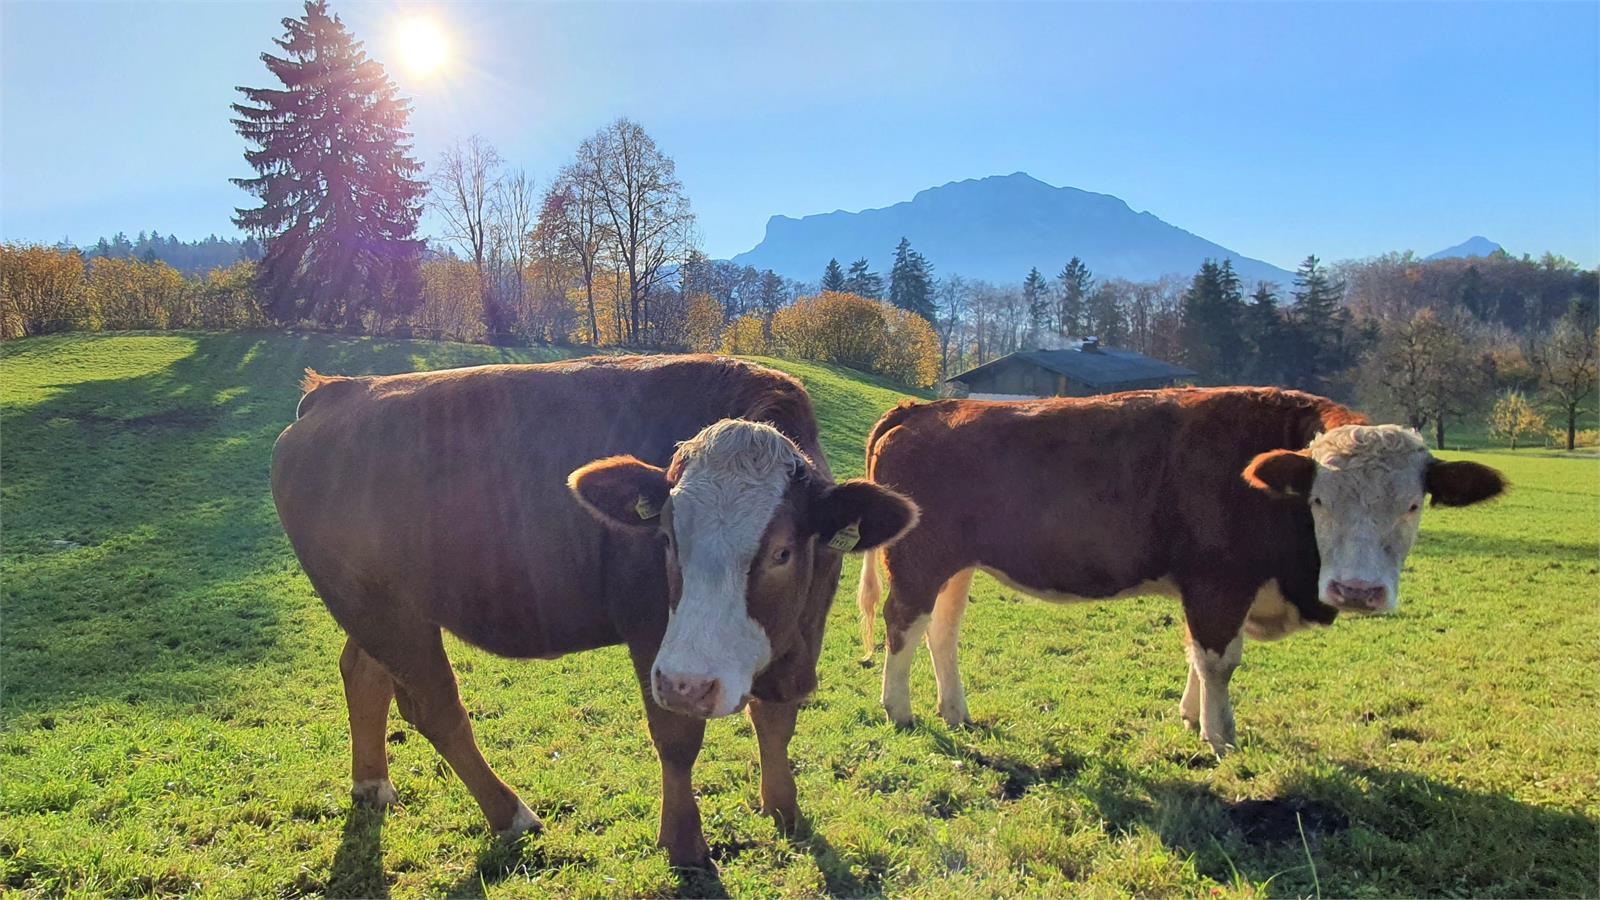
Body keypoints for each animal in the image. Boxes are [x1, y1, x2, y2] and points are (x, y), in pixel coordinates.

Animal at [273, 355, 915, 864]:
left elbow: (777, 722)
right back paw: (511, 815)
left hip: (380, 606)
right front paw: (684, 843)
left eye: (782, 551)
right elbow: (676, 740)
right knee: (434, 706)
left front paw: (784, 810)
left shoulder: (800, 639)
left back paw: (372, 784)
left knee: (364, 675)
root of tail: (339, 390)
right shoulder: (654, 638)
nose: (692, 682)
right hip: (386, 612)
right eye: (665, 540)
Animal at [857, 385, 1504, 749]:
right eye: (1320, 500)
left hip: (955, 566)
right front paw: (1220, 738)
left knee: (941, 632)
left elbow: (1196, 652)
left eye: (1412, 504)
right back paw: (900, 711)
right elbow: (1218, 659)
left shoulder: (1208, 590)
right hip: (917, 561)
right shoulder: (1219, 583)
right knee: (902, 625)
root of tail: (923, 408)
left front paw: (1191, 719)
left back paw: (955, 712)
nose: (1358, 590)